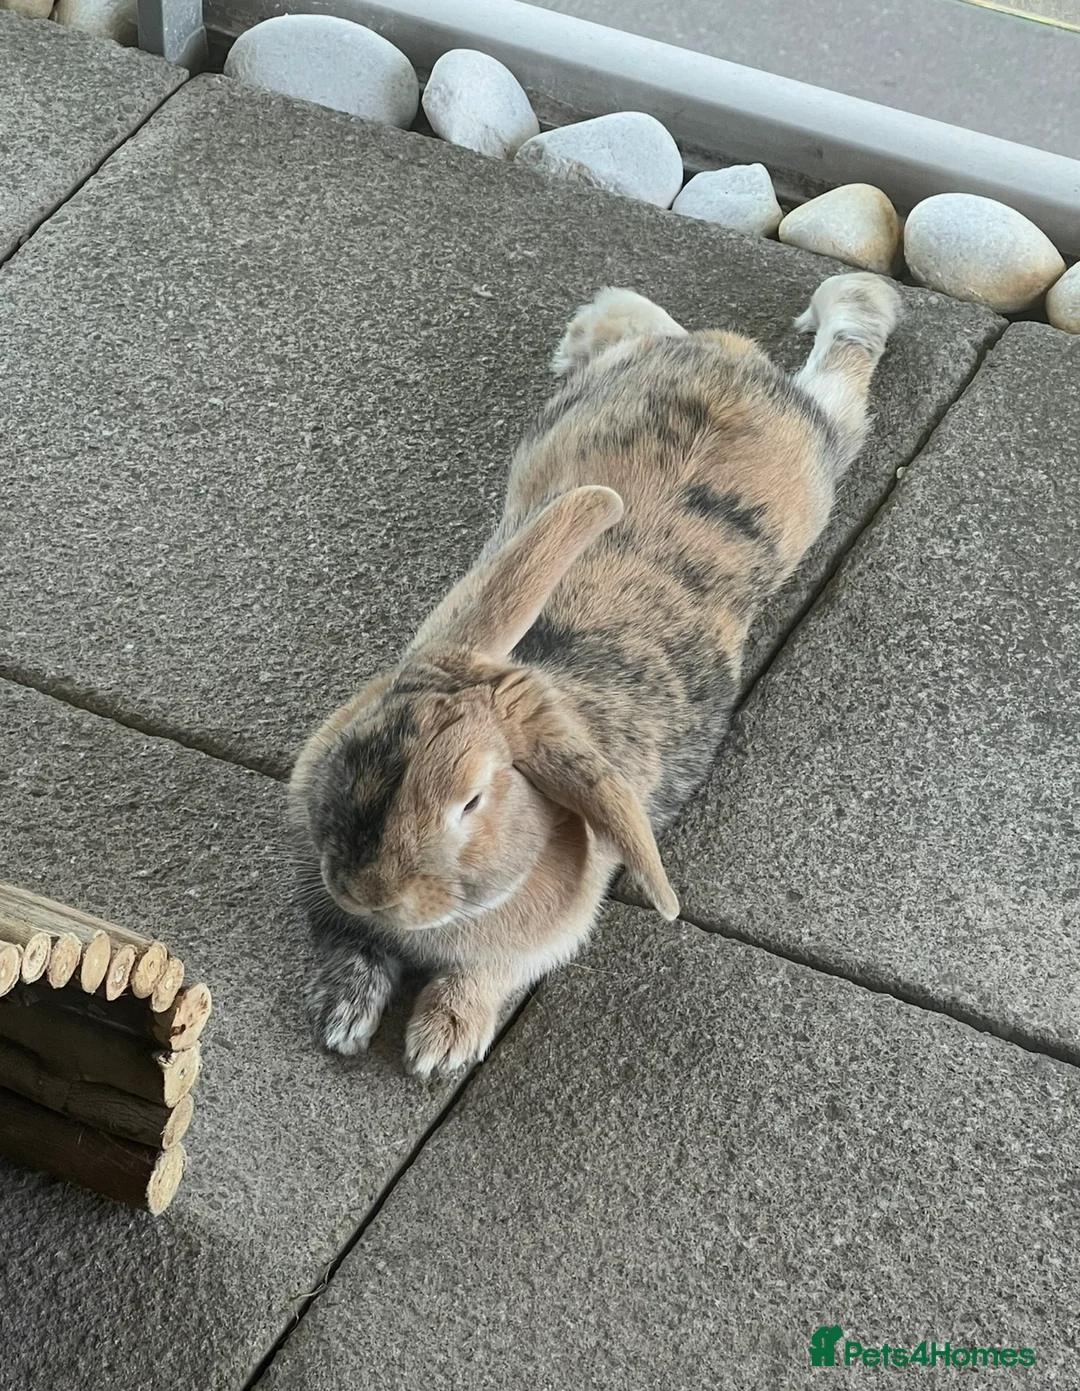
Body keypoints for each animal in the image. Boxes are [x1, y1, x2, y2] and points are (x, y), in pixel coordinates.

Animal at [289, 270, 902, 1079]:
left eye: (471, 801)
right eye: (360, 741)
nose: (365, 888)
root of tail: (728, 361)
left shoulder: (528, 949)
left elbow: (481, 977)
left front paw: (440, 1047)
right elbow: (347, 945)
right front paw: (344, 1017)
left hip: (819, 457)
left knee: (840, 367)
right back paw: (580, 338)